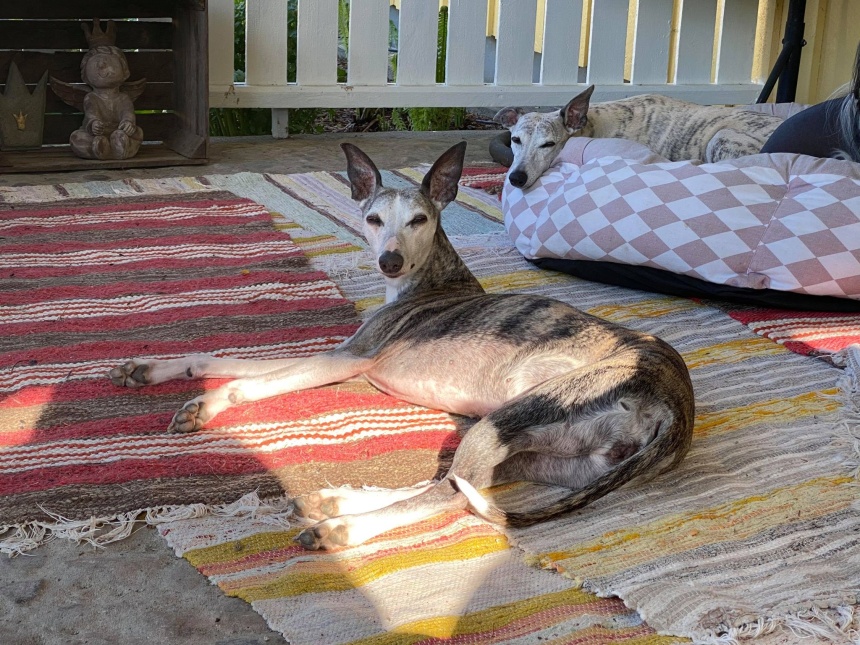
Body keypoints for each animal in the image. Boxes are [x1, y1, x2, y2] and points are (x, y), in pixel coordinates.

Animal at [109, 142, 695, 550]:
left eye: (420, 219)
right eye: (373, 218)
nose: (389, 260)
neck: (432, 278)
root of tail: (676, 409)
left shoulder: (351, 358)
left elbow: (252, 381)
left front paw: (204, 406)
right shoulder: (348, 356)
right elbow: (226, 359)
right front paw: (151, 369)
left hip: (512, 418)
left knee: (447, 494)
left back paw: (341, 528)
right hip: (540, 454)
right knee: (455, 485)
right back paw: (334, 500)